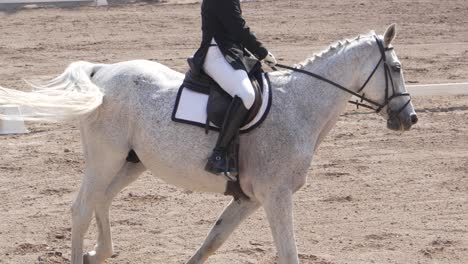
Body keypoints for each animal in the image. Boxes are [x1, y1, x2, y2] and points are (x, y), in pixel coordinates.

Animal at [0, 25, 416, 264]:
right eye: (396, 68)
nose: (410, 118)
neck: (301, 105)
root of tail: (101, 71)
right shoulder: (276, 195)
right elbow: (288, 254)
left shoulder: (249, 198)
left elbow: (212, 242)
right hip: (105, 158)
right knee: (82, 207)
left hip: (132, 162)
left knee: (102, 199)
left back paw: (97, 253)